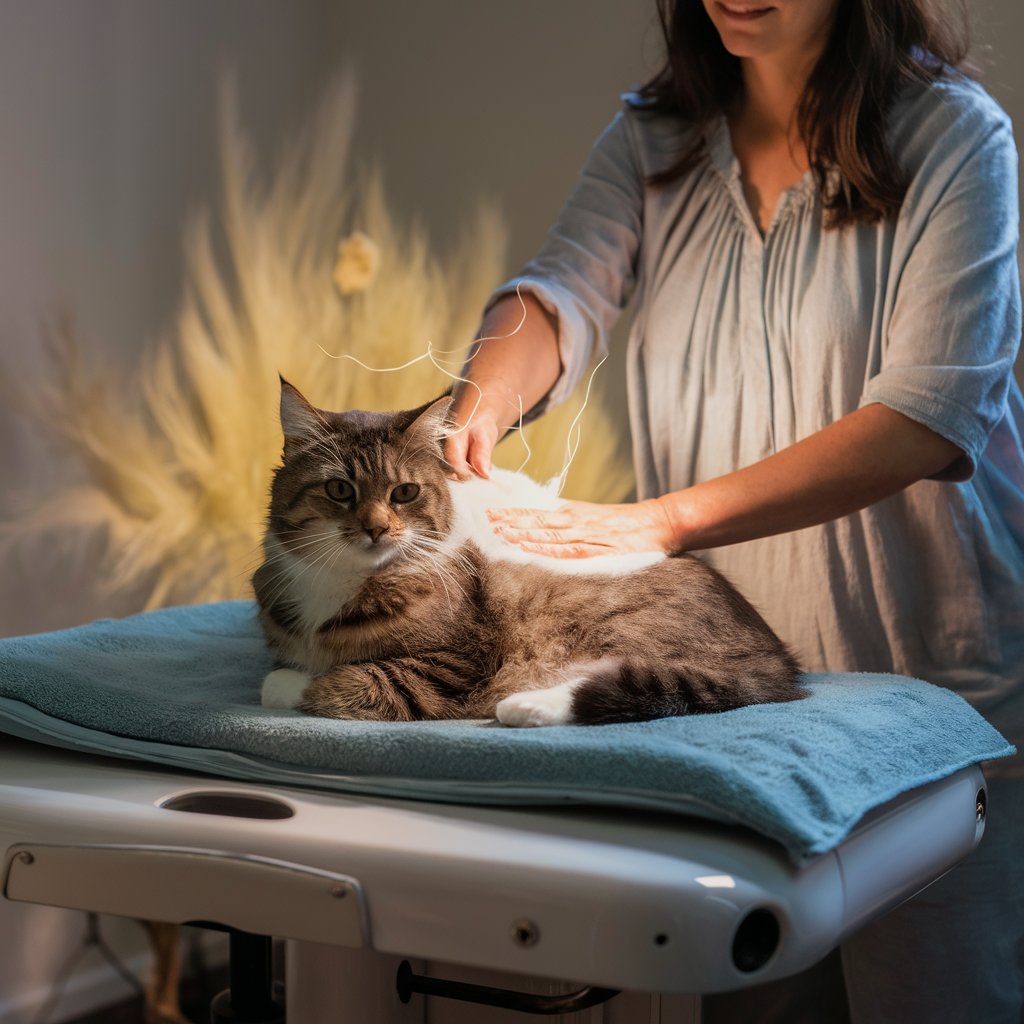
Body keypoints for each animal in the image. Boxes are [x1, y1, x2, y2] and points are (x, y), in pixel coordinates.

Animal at [251, 380, 802, 724]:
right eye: (339, 490)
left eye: (404, 493)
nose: (377, 529)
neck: (341, 580)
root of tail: (777, 654)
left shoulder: (450, 666)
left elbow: (347, 680)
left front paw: (287, 685)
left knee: (636, 683)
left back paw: (523, 706)